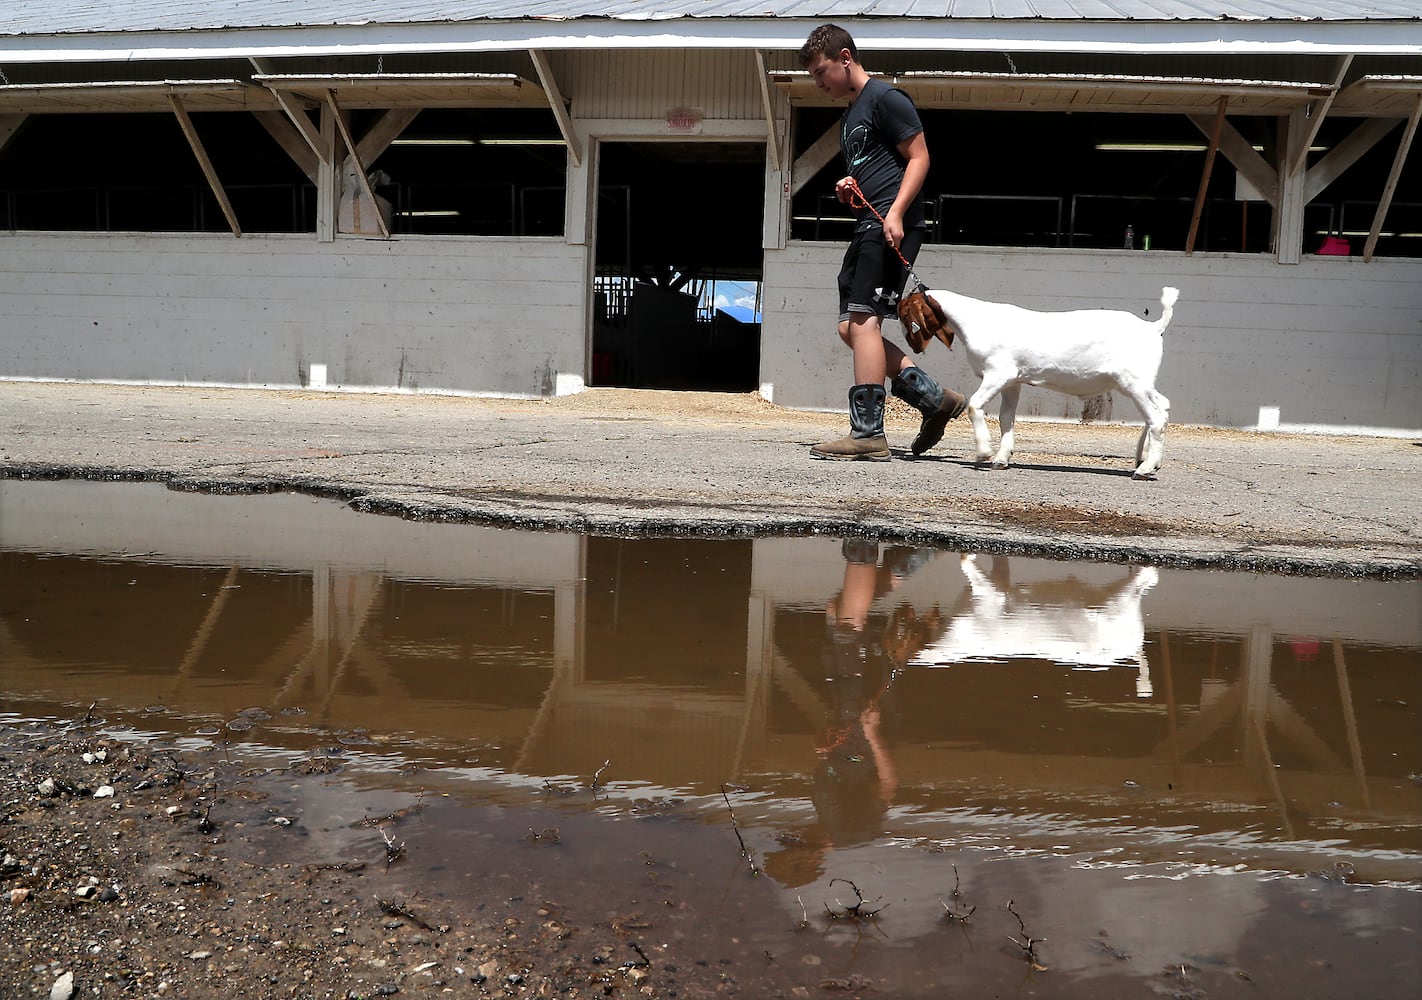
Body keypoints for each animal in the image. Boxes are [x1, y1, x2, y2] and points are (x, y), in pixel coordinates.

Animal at [898, 285, 1177, 480]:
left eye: (902, 313)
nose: (910, 343)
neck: (976, 321)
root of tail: (1153, 328)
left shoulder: (997, 374)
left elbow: (975, 405)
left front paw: (984, 452)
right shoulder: (1013, 381)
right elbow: (1006, 418)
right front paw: (1001, 459)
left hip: (1134, 382)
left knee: (1155, 418)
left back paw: (1144, 469)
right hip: (1141, 383)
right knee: (1162, 407)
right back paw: (1146, 461)